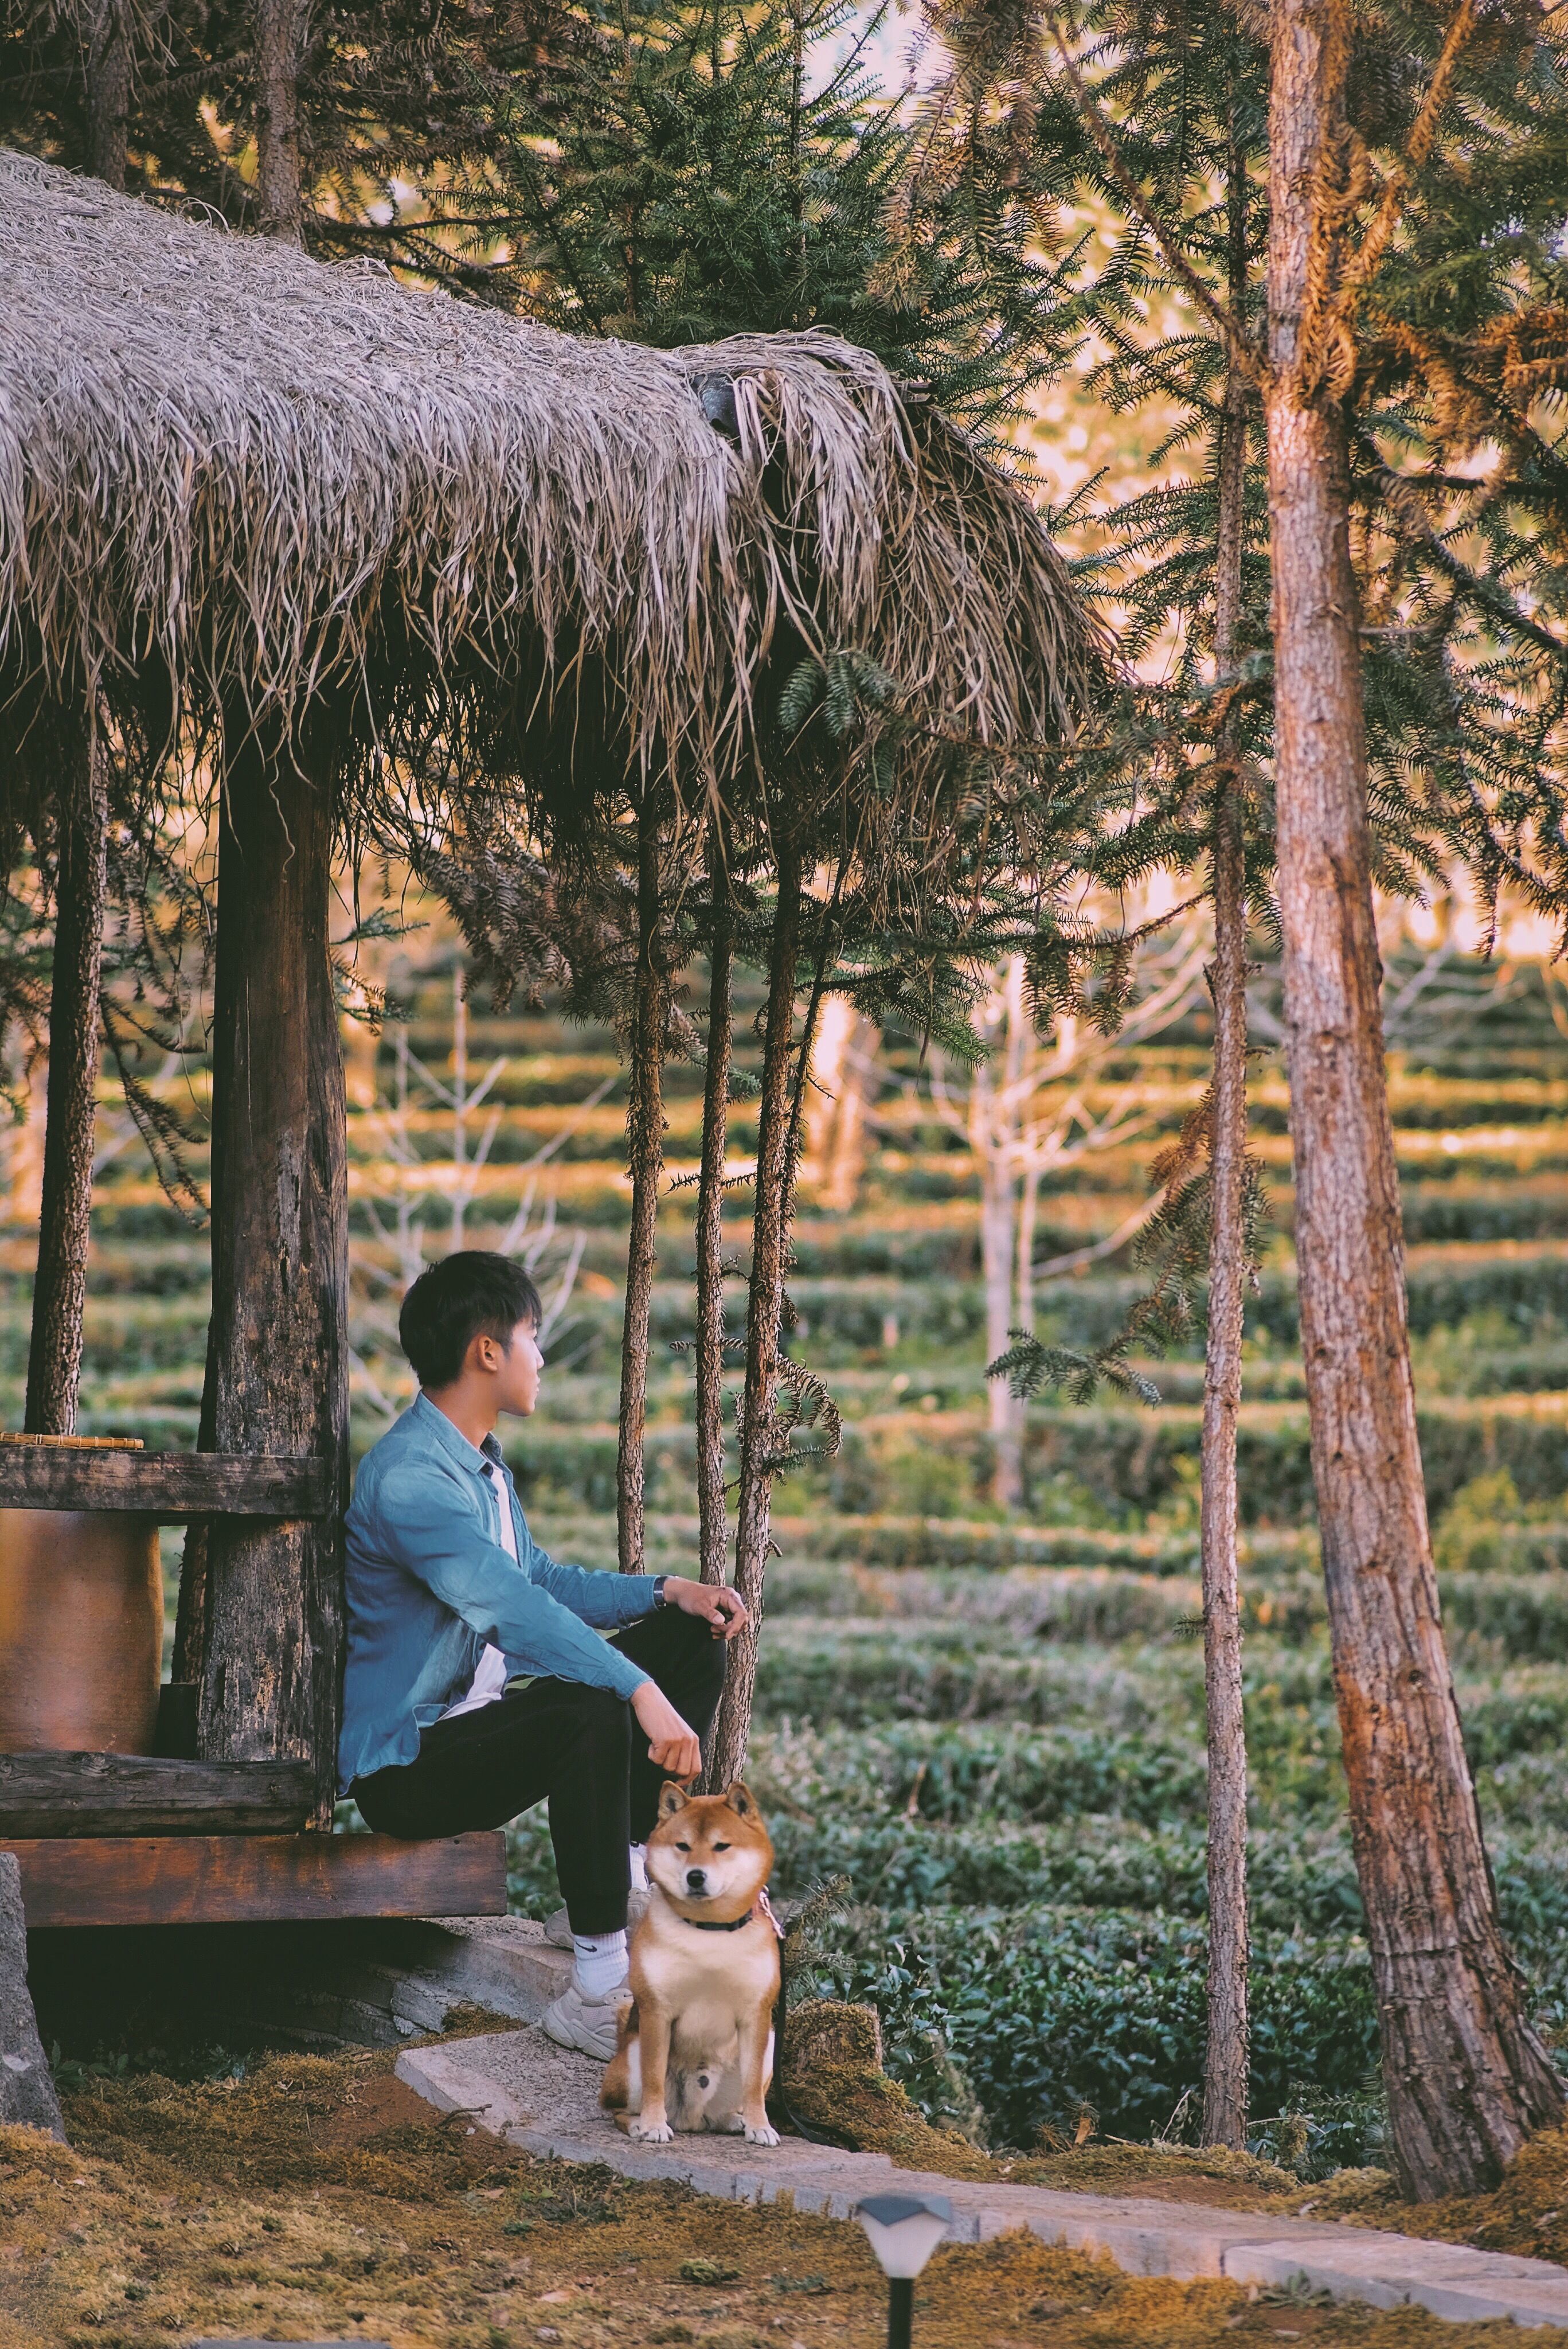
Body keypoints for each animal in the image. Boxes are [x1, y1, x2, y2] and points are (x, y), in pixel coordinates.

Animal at [596, 1776, 779, 2151]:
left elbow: (754, 2086)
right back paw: (639, 2123)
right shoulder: (656, 2010)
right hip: (630, 2057)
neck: (709, 1929)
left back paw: (735, 2121)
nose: (695, 1876)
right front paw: (653, 2125)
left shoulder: (757, 2015)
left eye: (722, 1846)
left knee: (722, 2112)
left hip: (771, 2044)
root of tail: (689, 2118)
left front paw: (761, 2126)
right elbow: (653, 2077)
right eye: (683, 1846)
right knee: (618, 2110)